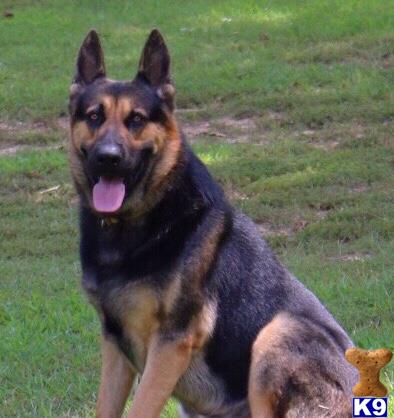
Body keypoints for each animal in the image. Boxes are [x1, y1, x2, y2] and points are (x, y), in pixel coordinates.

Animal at [69, 29, 358, 418]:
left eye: (137, 120)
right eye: (94, 116)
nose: (108, 158)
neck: (135, 224)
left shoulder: (171, 343)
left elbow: (141, 407)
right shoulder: (115, 345)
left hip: (277, 332)